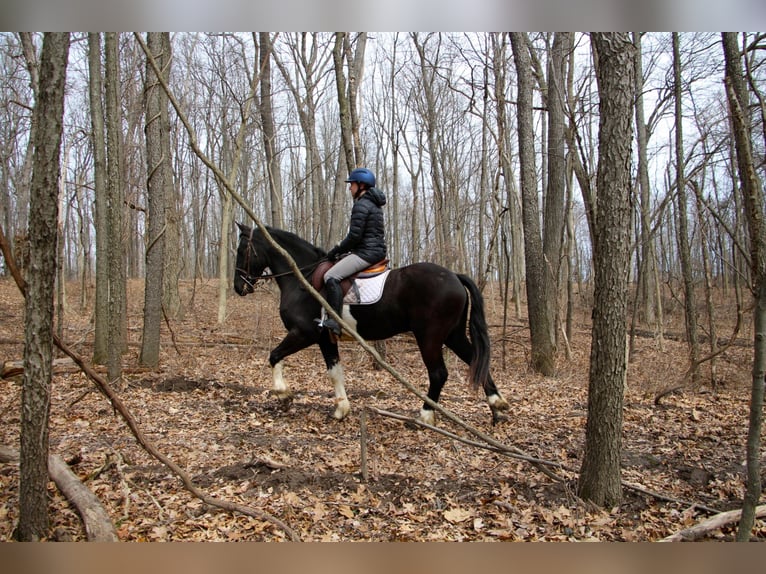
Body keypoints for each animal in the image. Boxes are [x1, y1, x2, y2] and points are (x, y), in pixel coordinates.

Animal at [234, 225, 510, 428]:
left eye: (241, 250)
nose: (238, 287)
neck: (303, 278)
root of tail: (454, 276)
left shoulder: (305, 333)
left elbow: (274, 355)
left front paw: (284, 394)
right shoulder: (325, 339)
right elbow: (335, 372)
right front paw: (341, 409)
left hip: (429, 337)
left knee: (439, 374)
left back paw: (424, 417)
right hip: (453, 335)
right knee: (475, 359)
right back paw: (497, 407)